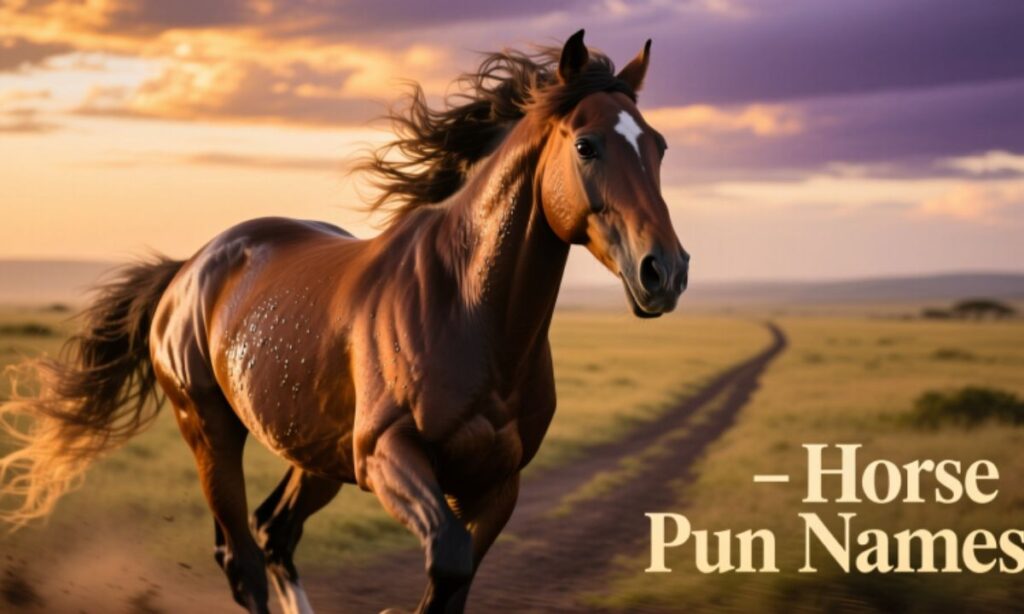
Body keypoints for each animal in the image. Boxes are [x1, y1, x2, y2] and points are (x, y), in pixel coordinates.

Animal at [0, 30, 688, 613]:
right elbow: (448, 561)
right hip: (211, 432)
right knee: (242, 559)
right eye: (586, 145)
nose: (666, 271)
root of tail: (186, 271)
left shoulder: (497, 484)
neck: (471, 316)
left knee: (275, 533)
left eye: (658, 146)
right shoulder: (387, 455)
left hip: (314, 453)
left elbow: (454, 582)